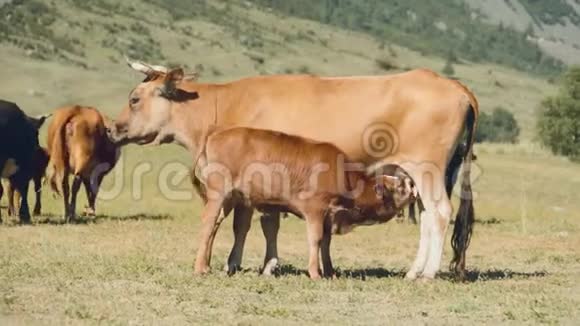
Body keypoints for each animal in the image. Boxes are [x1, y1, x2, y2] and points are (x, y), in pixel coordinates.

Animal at [197, 126, 414, 278]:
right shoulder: (315, 210)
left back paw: (207, 264)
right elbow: (316, 239)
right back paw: (200, 268)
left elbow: (326, 242)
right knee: (208, 224)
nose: (413, 188)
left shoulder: (328, 215)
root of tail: (214, 136)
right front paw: (315, 273)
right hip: (218, 194)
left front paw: (330, 272)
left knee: (215, 225)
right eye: (400, 187)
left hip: (232, 197)